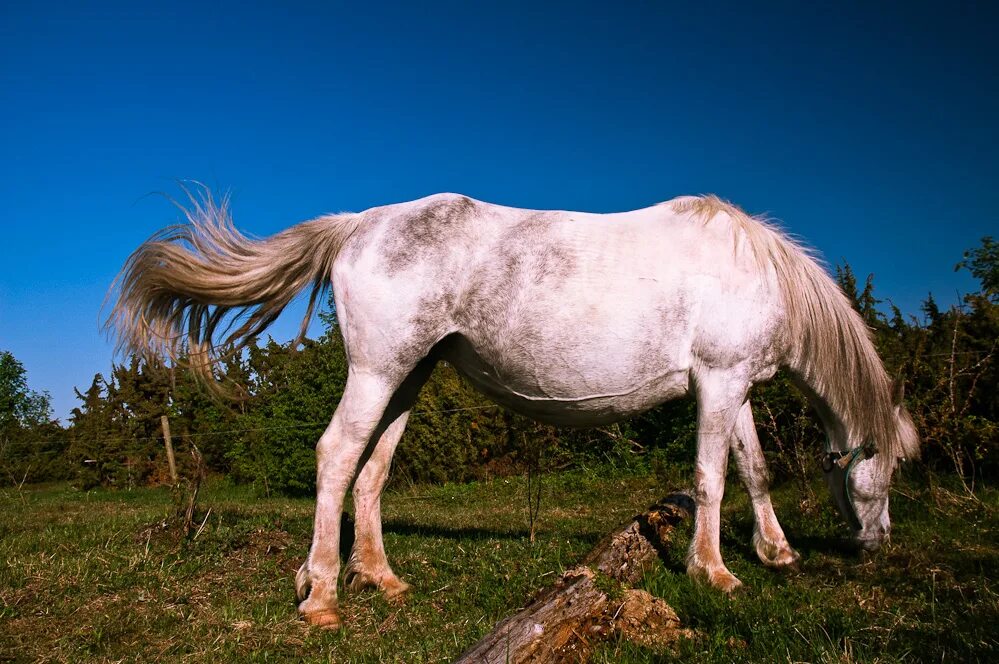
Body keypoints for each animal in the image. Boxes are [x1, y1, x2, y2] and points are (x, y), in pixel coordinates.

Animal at [111, 188, 920, 628]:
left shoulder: (733, 387)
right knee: (336, 457)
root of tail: (359, 222)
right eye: (882, 476)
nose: (876, 545)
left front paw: (776, 552)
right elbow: (713, 479)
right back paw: (323, 597)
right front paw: (715, 573)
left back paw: (381, 578)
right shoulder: (719, 385)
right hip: (377, 371)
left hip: (408, 379)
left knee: (371, 472)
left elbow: (751, 472)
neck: (753, 270)